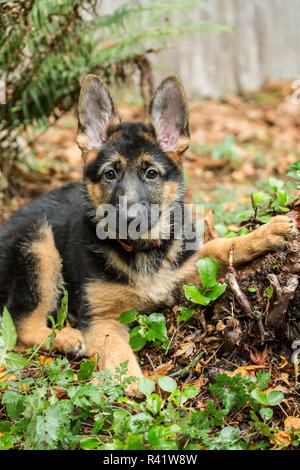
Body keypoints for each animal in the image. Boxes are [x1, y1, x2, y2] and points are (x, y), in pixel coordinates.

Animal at [0, 76, 296, 392]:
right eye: (110, 174)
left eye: (151, 173)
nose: (129, 219)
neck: (140, 251)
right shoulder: (99, 318)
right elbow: (115, 347)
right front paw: (130, 382)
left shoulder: (188, 270)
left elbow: (220, 246)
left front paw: (265, 233)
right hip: (38, 244)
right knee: (21, 325)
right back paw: (66, 338)